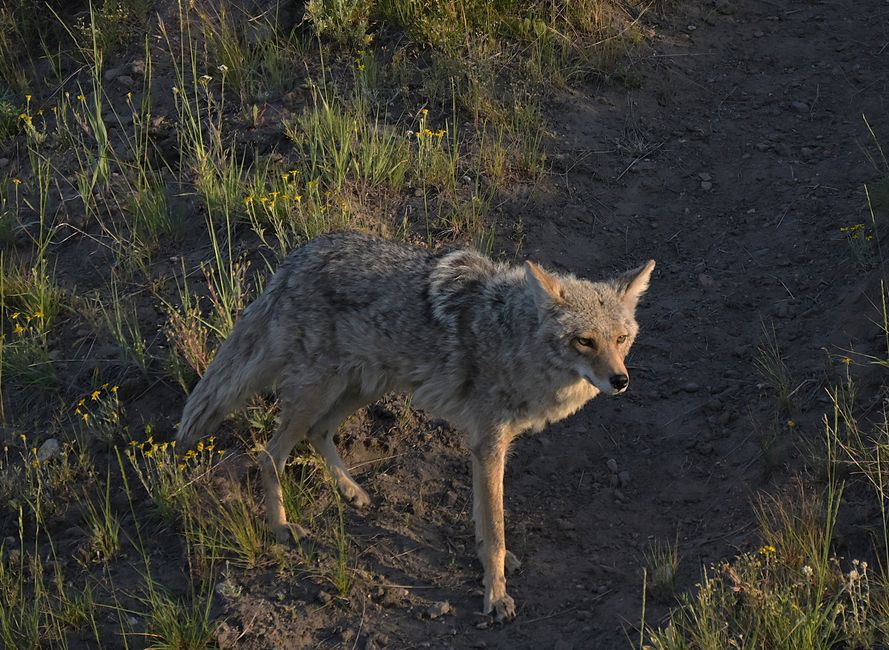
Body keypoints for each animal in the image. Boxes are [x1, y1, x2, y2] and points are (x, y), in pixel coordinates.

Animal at [177, 231, 655, 621]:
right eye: (584, 341)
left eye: (621, 340)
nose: (620, 380)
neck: (512, 337)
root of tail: (299, 255)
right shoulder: (488, 444)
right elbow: (496, 528)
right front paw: (496, 596)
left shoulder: (486, 446)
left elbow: (485, 520)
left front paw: (491, 568)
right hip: (319, 391)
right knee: (269, 454)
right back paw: (281, 528)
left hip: (359, 389)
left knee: (317, 434)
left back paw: (351, 492)